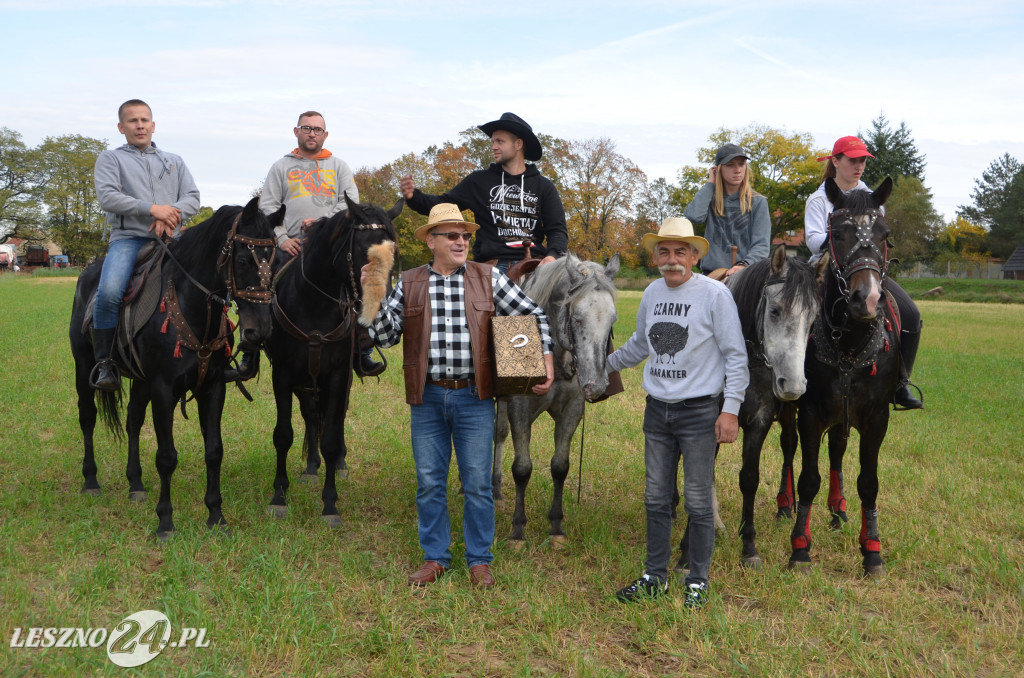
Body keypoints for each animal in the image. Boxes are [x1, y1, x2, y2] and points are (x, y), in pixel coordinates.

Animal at [69, 199, 280, 540]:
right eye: (243, 258)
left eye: (274, 262)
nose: (260, 329)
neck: (189, 303)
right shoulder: (163, 390)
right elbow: (167, 457)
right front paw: (165, 522)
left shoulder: (212, 387)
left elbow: (214, 451)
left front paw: (216, 516)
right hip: (84, 367)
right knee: (87, 418)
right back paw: (90, 480)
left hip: (141, 382)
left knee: (132, 422)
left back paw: (136, 484)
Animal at [264, 195, 399, 524]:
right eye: (364, 251)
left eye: (395, 253)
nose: (379, 311)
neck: (313, 305)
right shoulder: (283, 375)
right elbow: (284, 434)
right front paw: (279, 496)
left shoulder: (338, 376)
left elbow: (331, 437)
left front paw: (329, 503)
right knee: (312, 416)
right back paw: (311, 467)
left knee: (334, 420)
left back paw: (338, 463)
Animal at [491, 255, 618, 548]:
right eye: (578, 319)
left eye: (612, 319)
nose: (596, 385)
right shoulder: (519, 409)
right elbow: (522, 468)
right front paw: (517, 530)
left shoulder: (572, 411)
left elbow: (560, 467)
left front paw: (556, 528)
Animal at [786, 178, 901, 577]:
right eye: (837, 233)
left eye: (885, 234)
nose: (866, 299)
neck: (849, 340)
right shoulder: (809, 414)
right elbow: (808, 479)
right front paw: (800, 549)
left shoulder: (876, 418)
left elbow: (869, 483)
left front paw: (872, 550)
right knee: (790, 449)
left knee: (837, 450)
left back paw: (838, 510)